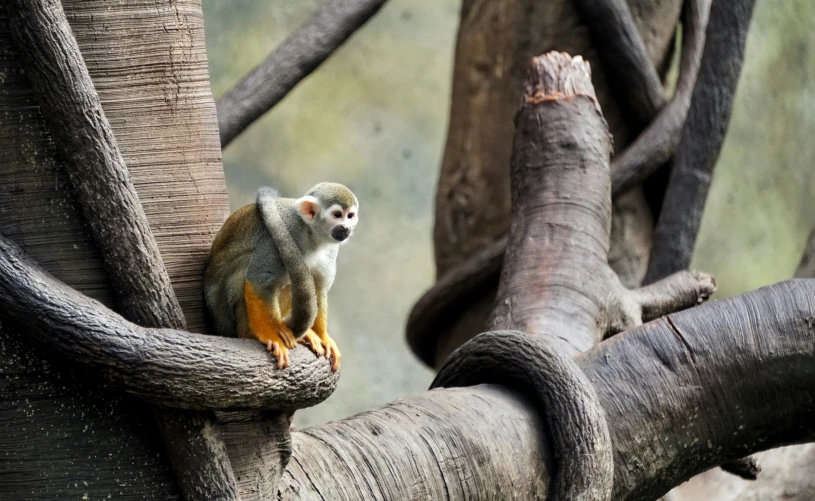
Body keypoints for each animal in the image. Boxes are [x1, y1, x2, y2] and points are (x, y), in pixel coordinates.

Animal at [203, 182, 356, 370]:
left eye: (350, 216)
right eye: (337, 215)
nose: (346, 228)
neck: (311, 233)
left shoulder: (330, 248)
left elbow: (319, 288)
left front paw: (323, 336)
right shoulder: (288, 229)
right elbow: (260, 280)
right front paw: (270, 334)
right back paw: (252, 333)